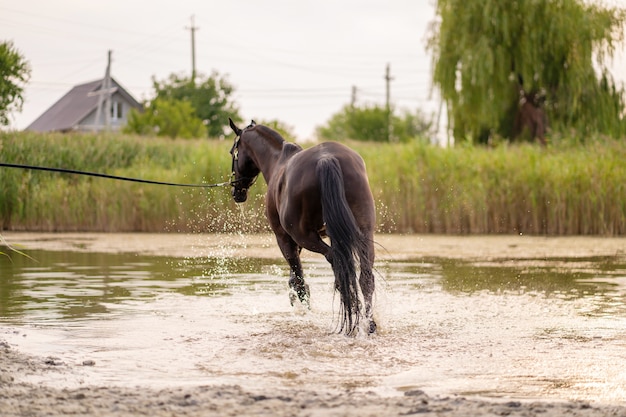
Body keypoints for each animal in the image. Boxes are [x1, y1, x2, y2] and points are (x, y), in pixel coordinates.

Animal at [229, 118, 376, 334]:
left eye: (233, 152)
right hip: (364, 234)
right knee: (364, 277)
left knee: (339, 267)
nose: (236, 191)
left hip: (305, 237)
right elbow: (295, 276)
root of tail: (326, 159)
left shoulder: (284, 238)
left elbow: (298, 278)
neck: (277, 162)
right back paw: (369, 322)